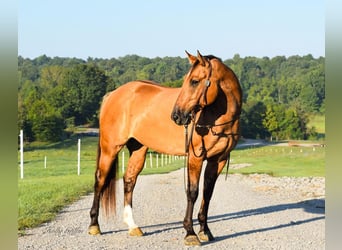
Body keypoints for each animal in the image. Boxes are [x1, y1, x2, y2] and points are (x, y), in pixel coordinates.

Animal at [88, 50, 243, 246]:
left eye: (194, 81)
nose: (176, 116)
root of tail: (114, 94)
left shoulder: (218, 160)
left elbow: (207, 193)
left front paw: (205, 230)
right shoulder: (196, 158)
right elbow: (193, 192)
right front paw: (190, 233)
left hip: (138, 149)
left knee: (129, 180)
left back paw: (133, 226)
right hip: (110, 148)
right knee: (100, 180)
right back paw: (94, 225)